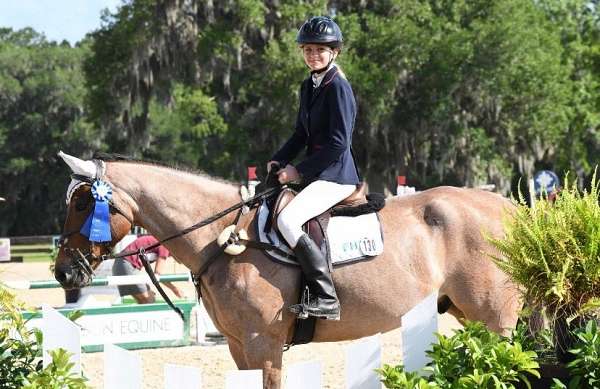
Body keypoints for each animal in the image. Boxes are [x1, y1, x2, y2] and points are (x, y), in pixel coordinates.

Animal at [52, 152, 520, 388]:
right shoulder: (239, 346)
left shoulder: (264, 345)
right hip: (466, 313)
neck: (223, 237)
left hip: (494, 319)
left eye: (83, 202)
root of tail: (507, 207)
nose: (63, 274)